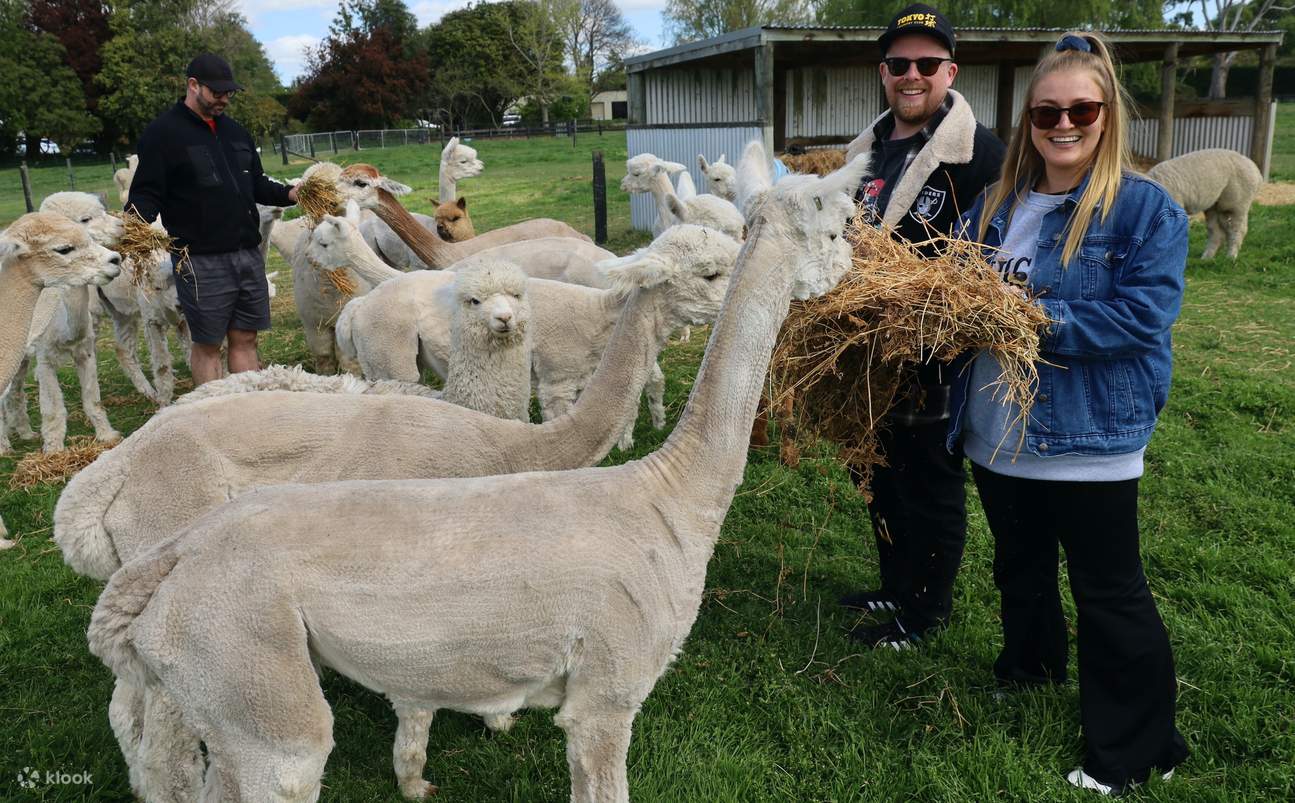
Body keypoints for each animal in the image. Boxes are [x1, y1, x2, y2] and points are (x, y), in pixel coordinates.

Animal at [83, 156, 869, 803]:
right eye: (835, 221)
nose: (852, 268)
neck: (667, 498)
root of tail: (169, 558)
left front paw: (422, 770)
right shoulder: (607, 688)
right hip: (253, 685)